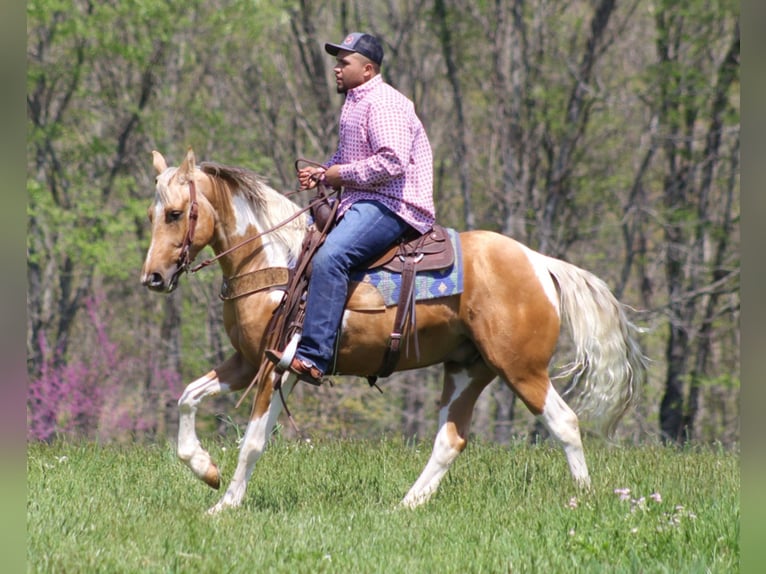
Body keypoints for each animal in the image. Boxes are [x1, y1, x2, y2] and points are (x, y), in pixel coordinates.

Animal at [141, 148, 644, 516]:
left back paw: (582, 498)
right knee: (450, 440)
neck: (275, 260)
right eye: (152, 214)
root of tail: (539, 262)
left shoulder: (275, 367)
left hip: (522, 370)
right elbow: (188, 397)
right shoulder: (246, 361)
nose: (153, 278)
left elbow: (252, 443)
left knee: (564, 422)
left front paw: (225, 506)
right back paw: (406, 505)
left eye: (175, 213)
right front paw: (205, 470)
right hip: (468, 369)